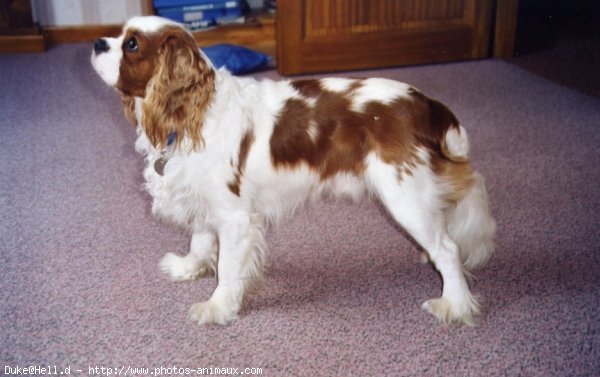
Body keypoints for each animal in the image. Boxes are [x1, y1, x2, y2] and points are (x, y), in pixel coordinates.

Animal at [91, 16, 494, 324]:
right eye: (119, 35)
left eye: (131, 44)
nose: (96, 43)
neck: (194, 113)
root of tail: (424, 103)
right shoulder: (203, 197)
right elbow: (200, 239)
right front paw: (188, 268)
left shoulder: (235, 217)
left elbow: (228, 267)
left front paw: (217, 307)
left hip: (404, 195)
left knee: (448, 248)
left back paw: (455, 305)